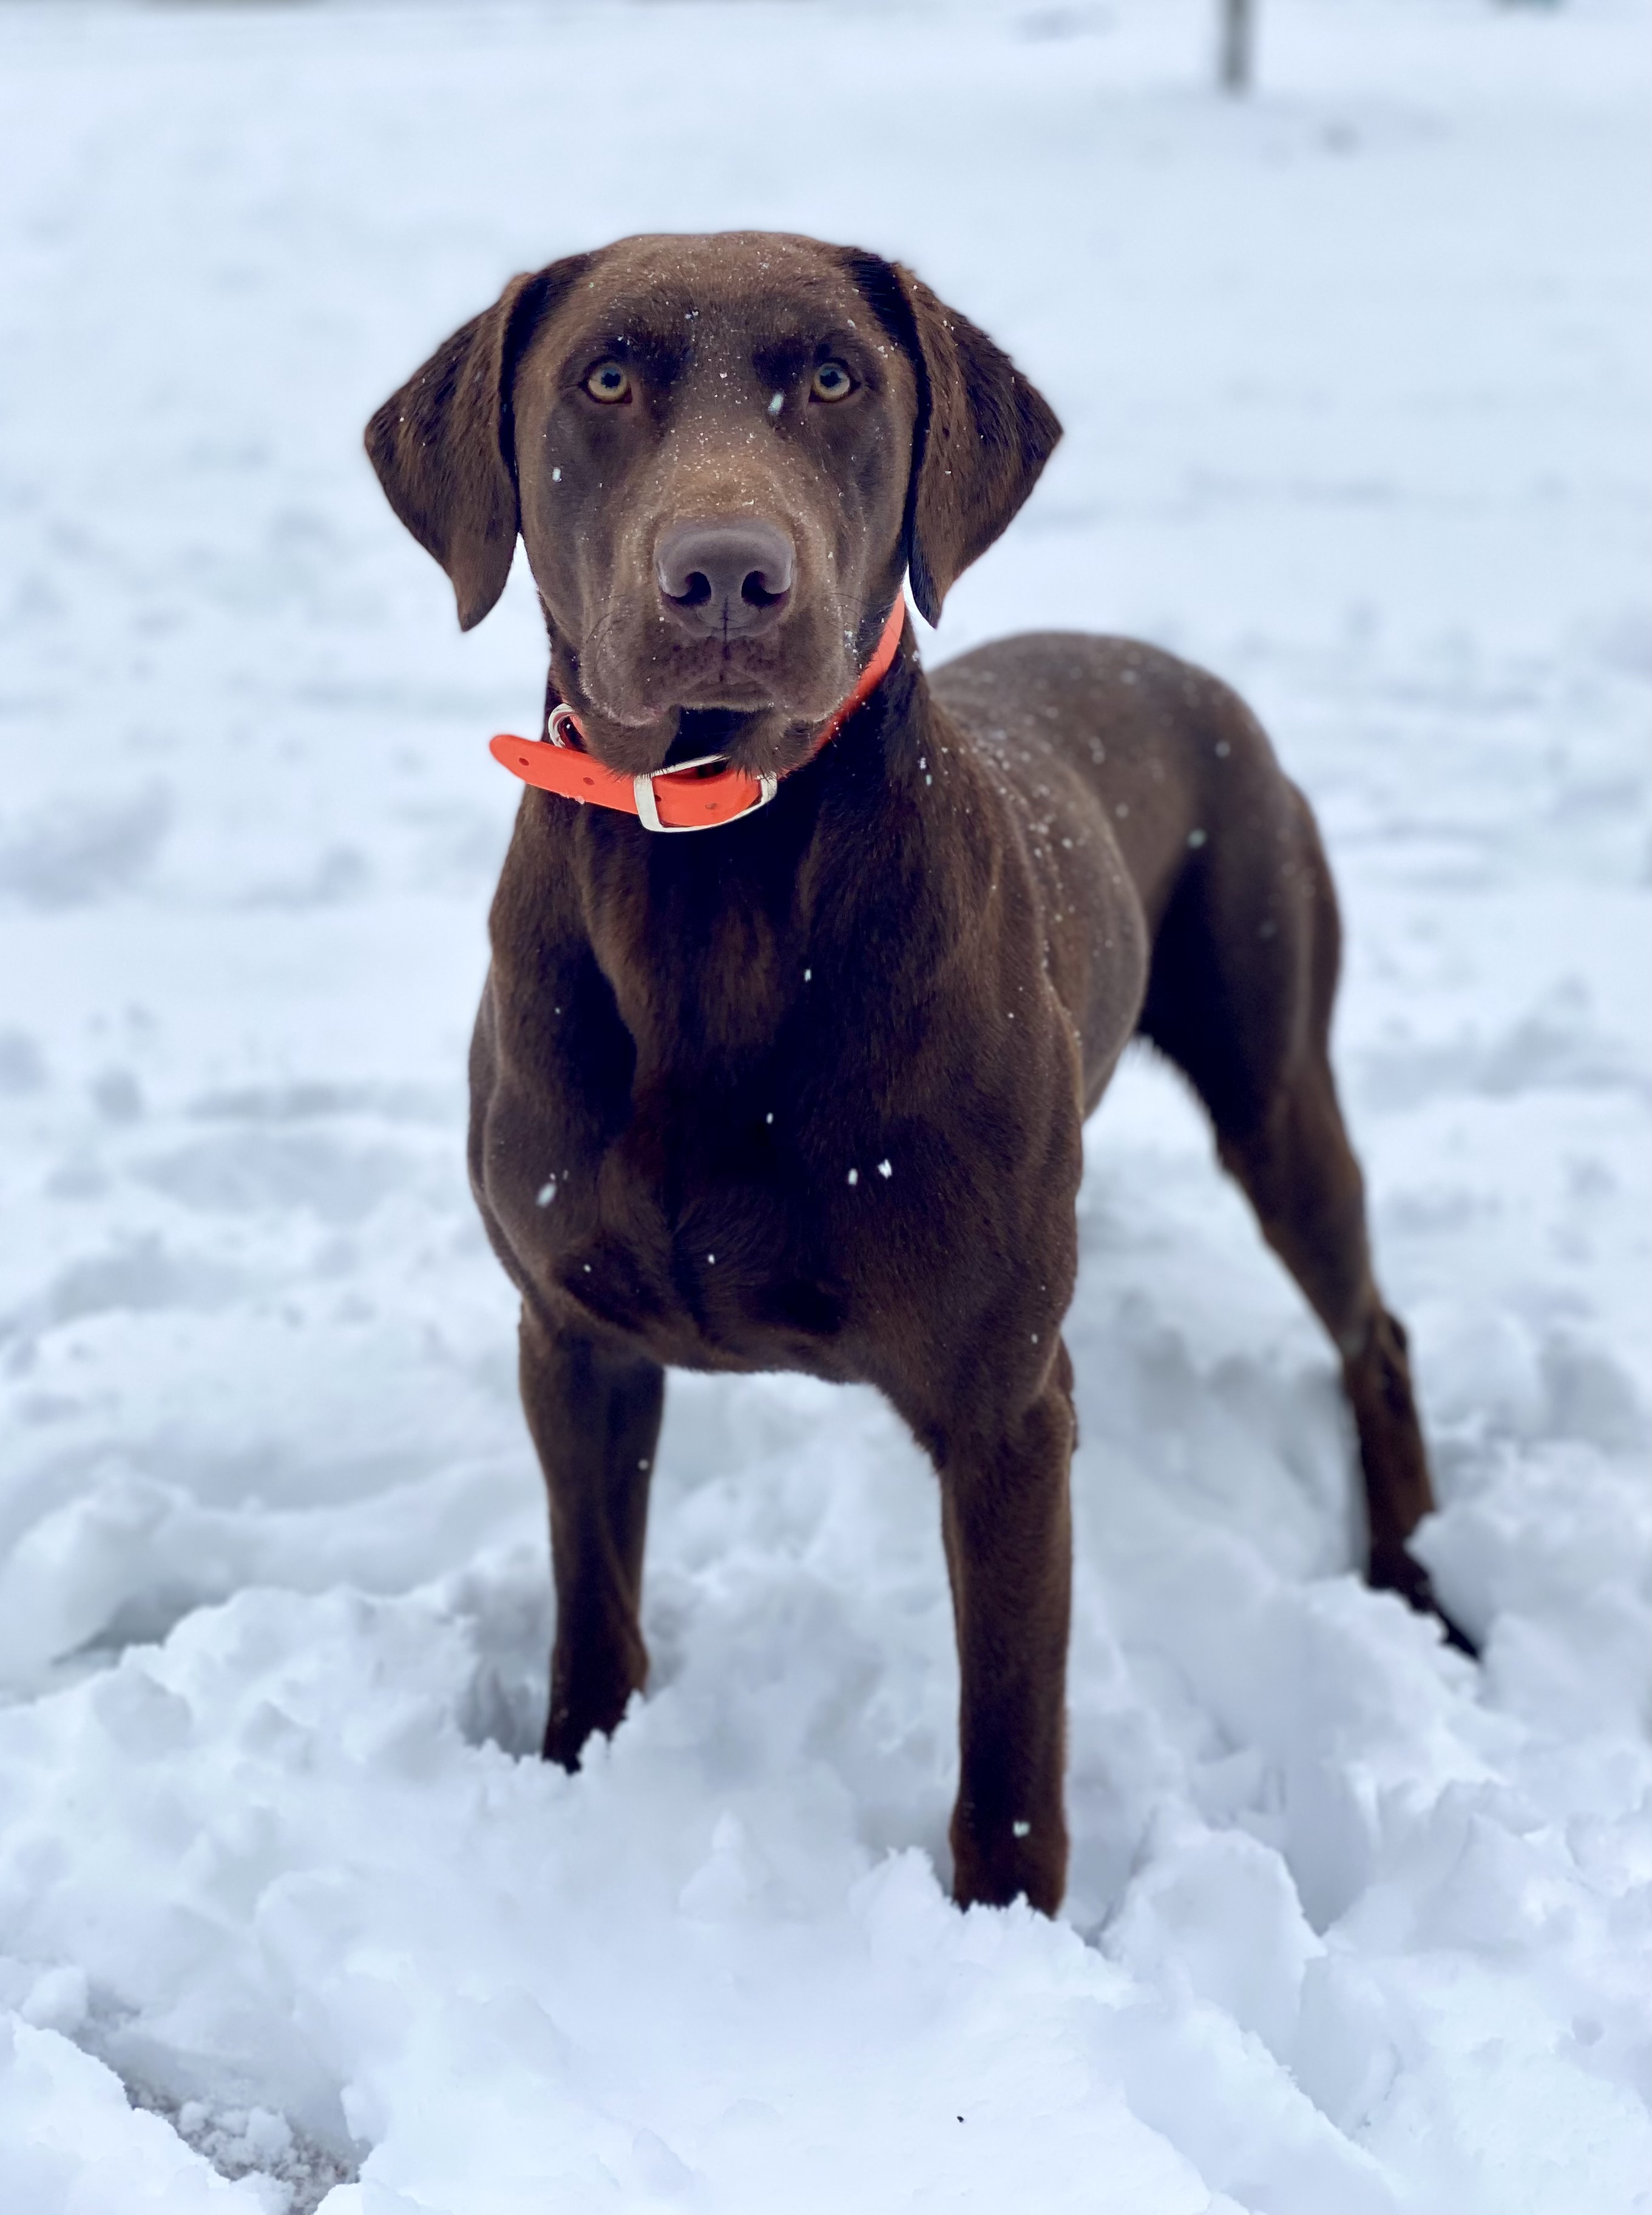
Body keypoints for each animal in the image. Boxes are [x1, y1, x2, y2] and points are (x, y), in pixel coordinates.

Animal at [363, 229, 1470, 1922]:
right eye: (602, 377)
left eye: (833, 376)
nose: (727, 576)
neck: (717, 885)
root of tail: (1182, 669)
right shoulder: (571, 1337)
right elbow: (591, 1613)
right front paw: (573, 1783)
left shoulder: (1005, 1408)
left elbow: (1008, 1746)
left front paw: (1008, 1943)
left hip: (1274, 1078)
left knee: (1374, 1328)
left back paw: (1415, 1583)